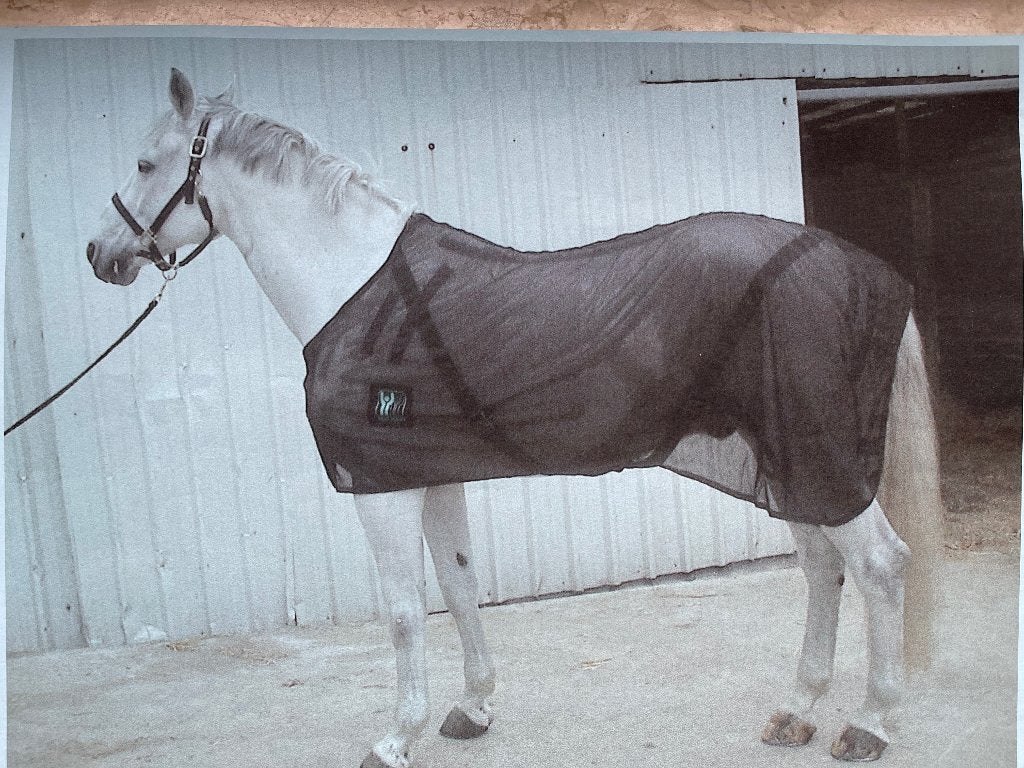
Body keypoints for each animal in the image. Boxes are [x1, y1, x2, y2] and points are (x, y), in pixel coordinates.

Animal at [85, 69, 942, 767]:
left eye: (145, 162)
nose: (99, 254)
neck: (352, 284)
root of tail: (860, 271)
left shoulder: (379, 487)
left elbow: (404, 612)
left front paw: (394, 740)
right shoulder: (433, 476)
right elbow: (460, 586)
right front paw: (473, 708)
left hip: (818, 459)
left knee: (878, 565)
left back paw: (867, 725)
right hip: (786, 460)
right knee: (823, 567)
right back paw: (795, 712)